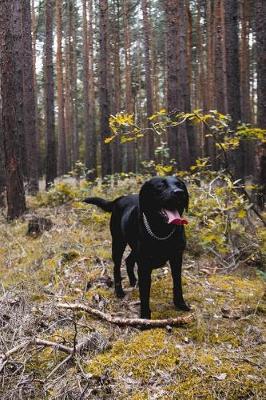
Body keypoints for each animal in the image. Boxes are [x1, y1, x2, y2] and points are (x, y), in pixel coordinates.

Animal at [84, 177, 190, 320]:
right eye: (160, 186)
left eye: (180, 185)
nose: (179, 192)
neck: (162, 232)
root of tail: (120, 198)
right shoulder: (144, 265)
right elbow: (144, 294)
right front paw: (145, 316)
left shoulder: (177, 259)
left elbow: (177, 284)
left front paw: (180, 304)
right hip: (118, 243)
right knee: (117, 267)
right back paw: (119, 291)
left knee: (129, 260)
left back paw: (134, 281)